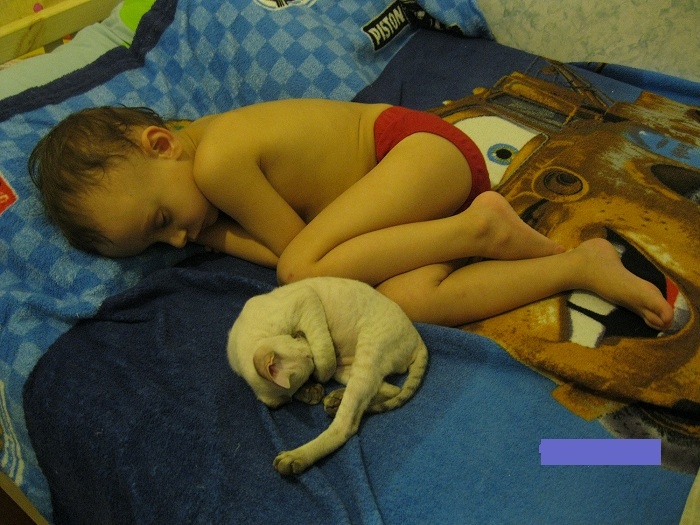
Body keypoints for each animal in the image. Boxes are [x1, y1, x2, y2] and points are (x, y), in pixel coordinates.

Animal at [227, 276, 428, 475]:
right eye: (308, 359)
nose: (301, 335)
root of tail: (419, 341)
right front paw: (310, 392)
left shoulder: (307, 297)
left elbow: (324, 357)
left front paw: (318, 380)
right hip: (349, 368)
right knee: (388, 390)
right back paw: (335, 401)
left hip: (368, 350)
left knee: (349, 422)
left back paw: (295, 456)